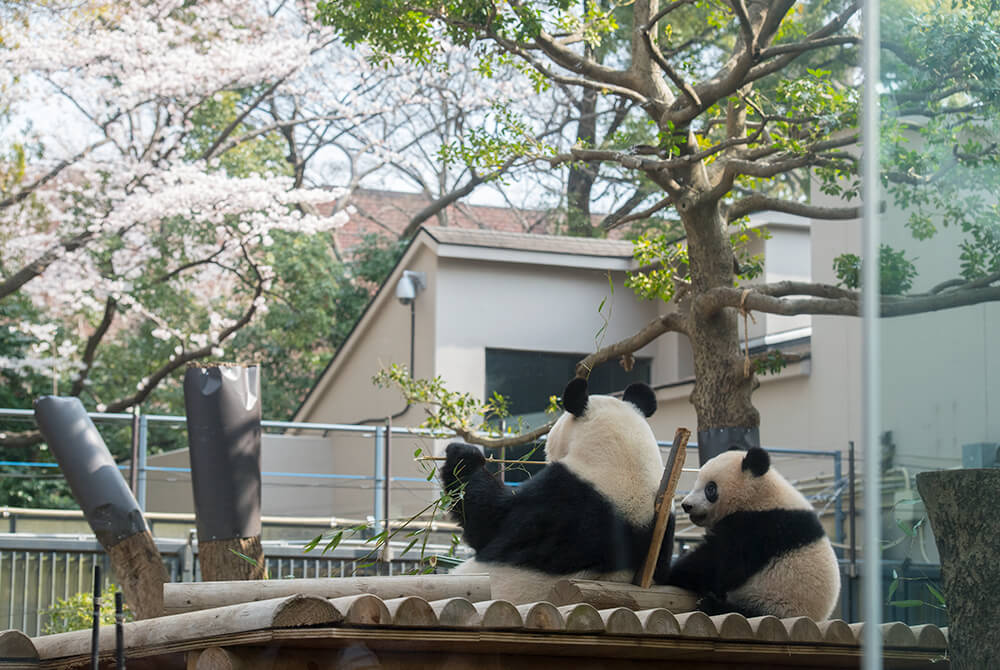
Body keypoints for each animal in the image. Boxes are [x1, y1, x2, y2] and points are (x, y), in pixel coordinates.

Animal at [660, 448, 840, 624]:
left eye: (710, 488)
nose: (686, 505)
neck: (760, 494)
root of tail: (817, 618)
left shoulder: (760, 528)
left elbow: (720, 563)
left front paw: (670, 574)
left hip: (776, 603)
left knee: (746, 612)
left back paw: (710, 604)